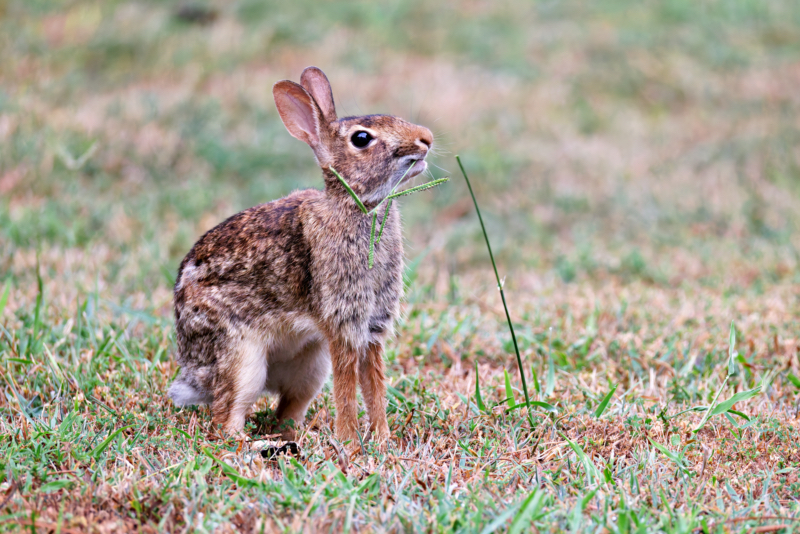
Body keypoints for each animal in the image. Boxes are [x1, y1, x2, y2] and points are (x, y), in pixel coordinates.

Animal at [167, 65, 432, 448]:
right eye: (362, 139)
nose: (426, 138)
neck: (356, 207)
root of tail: (192, 373)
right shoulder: (343, 323)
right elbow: (347, 389)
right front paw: (351, 445)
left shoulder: (372, 327)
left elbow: (374, 386)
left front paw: (382, 441)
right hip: (242, 361)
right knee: (225, 423)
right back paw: (265, 446)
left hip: (310, 367)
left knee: (286, 411)